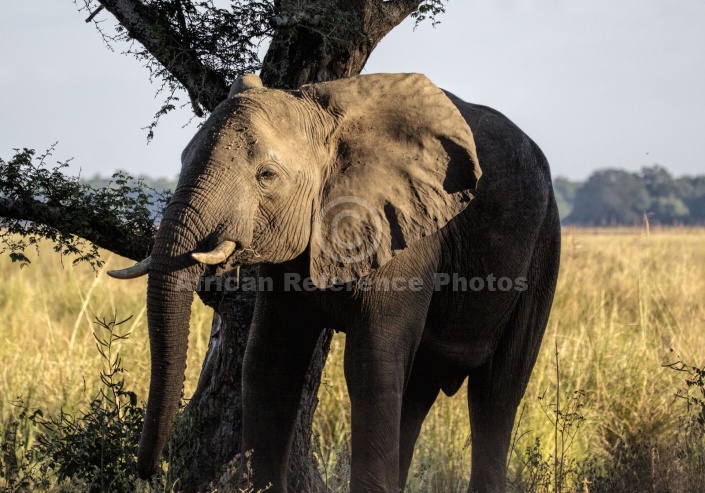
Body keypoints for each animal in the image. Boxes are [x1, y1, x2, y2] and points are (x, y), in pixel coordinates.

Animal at [110, 73, 560, 492]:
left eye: (266, 175)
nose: (147, 471)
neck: (324, 113)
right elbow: (270, 360)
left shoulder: (404, 233)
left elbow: (370, 364)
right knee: (419, 388)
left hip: (543, 248)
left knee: (497, 390)